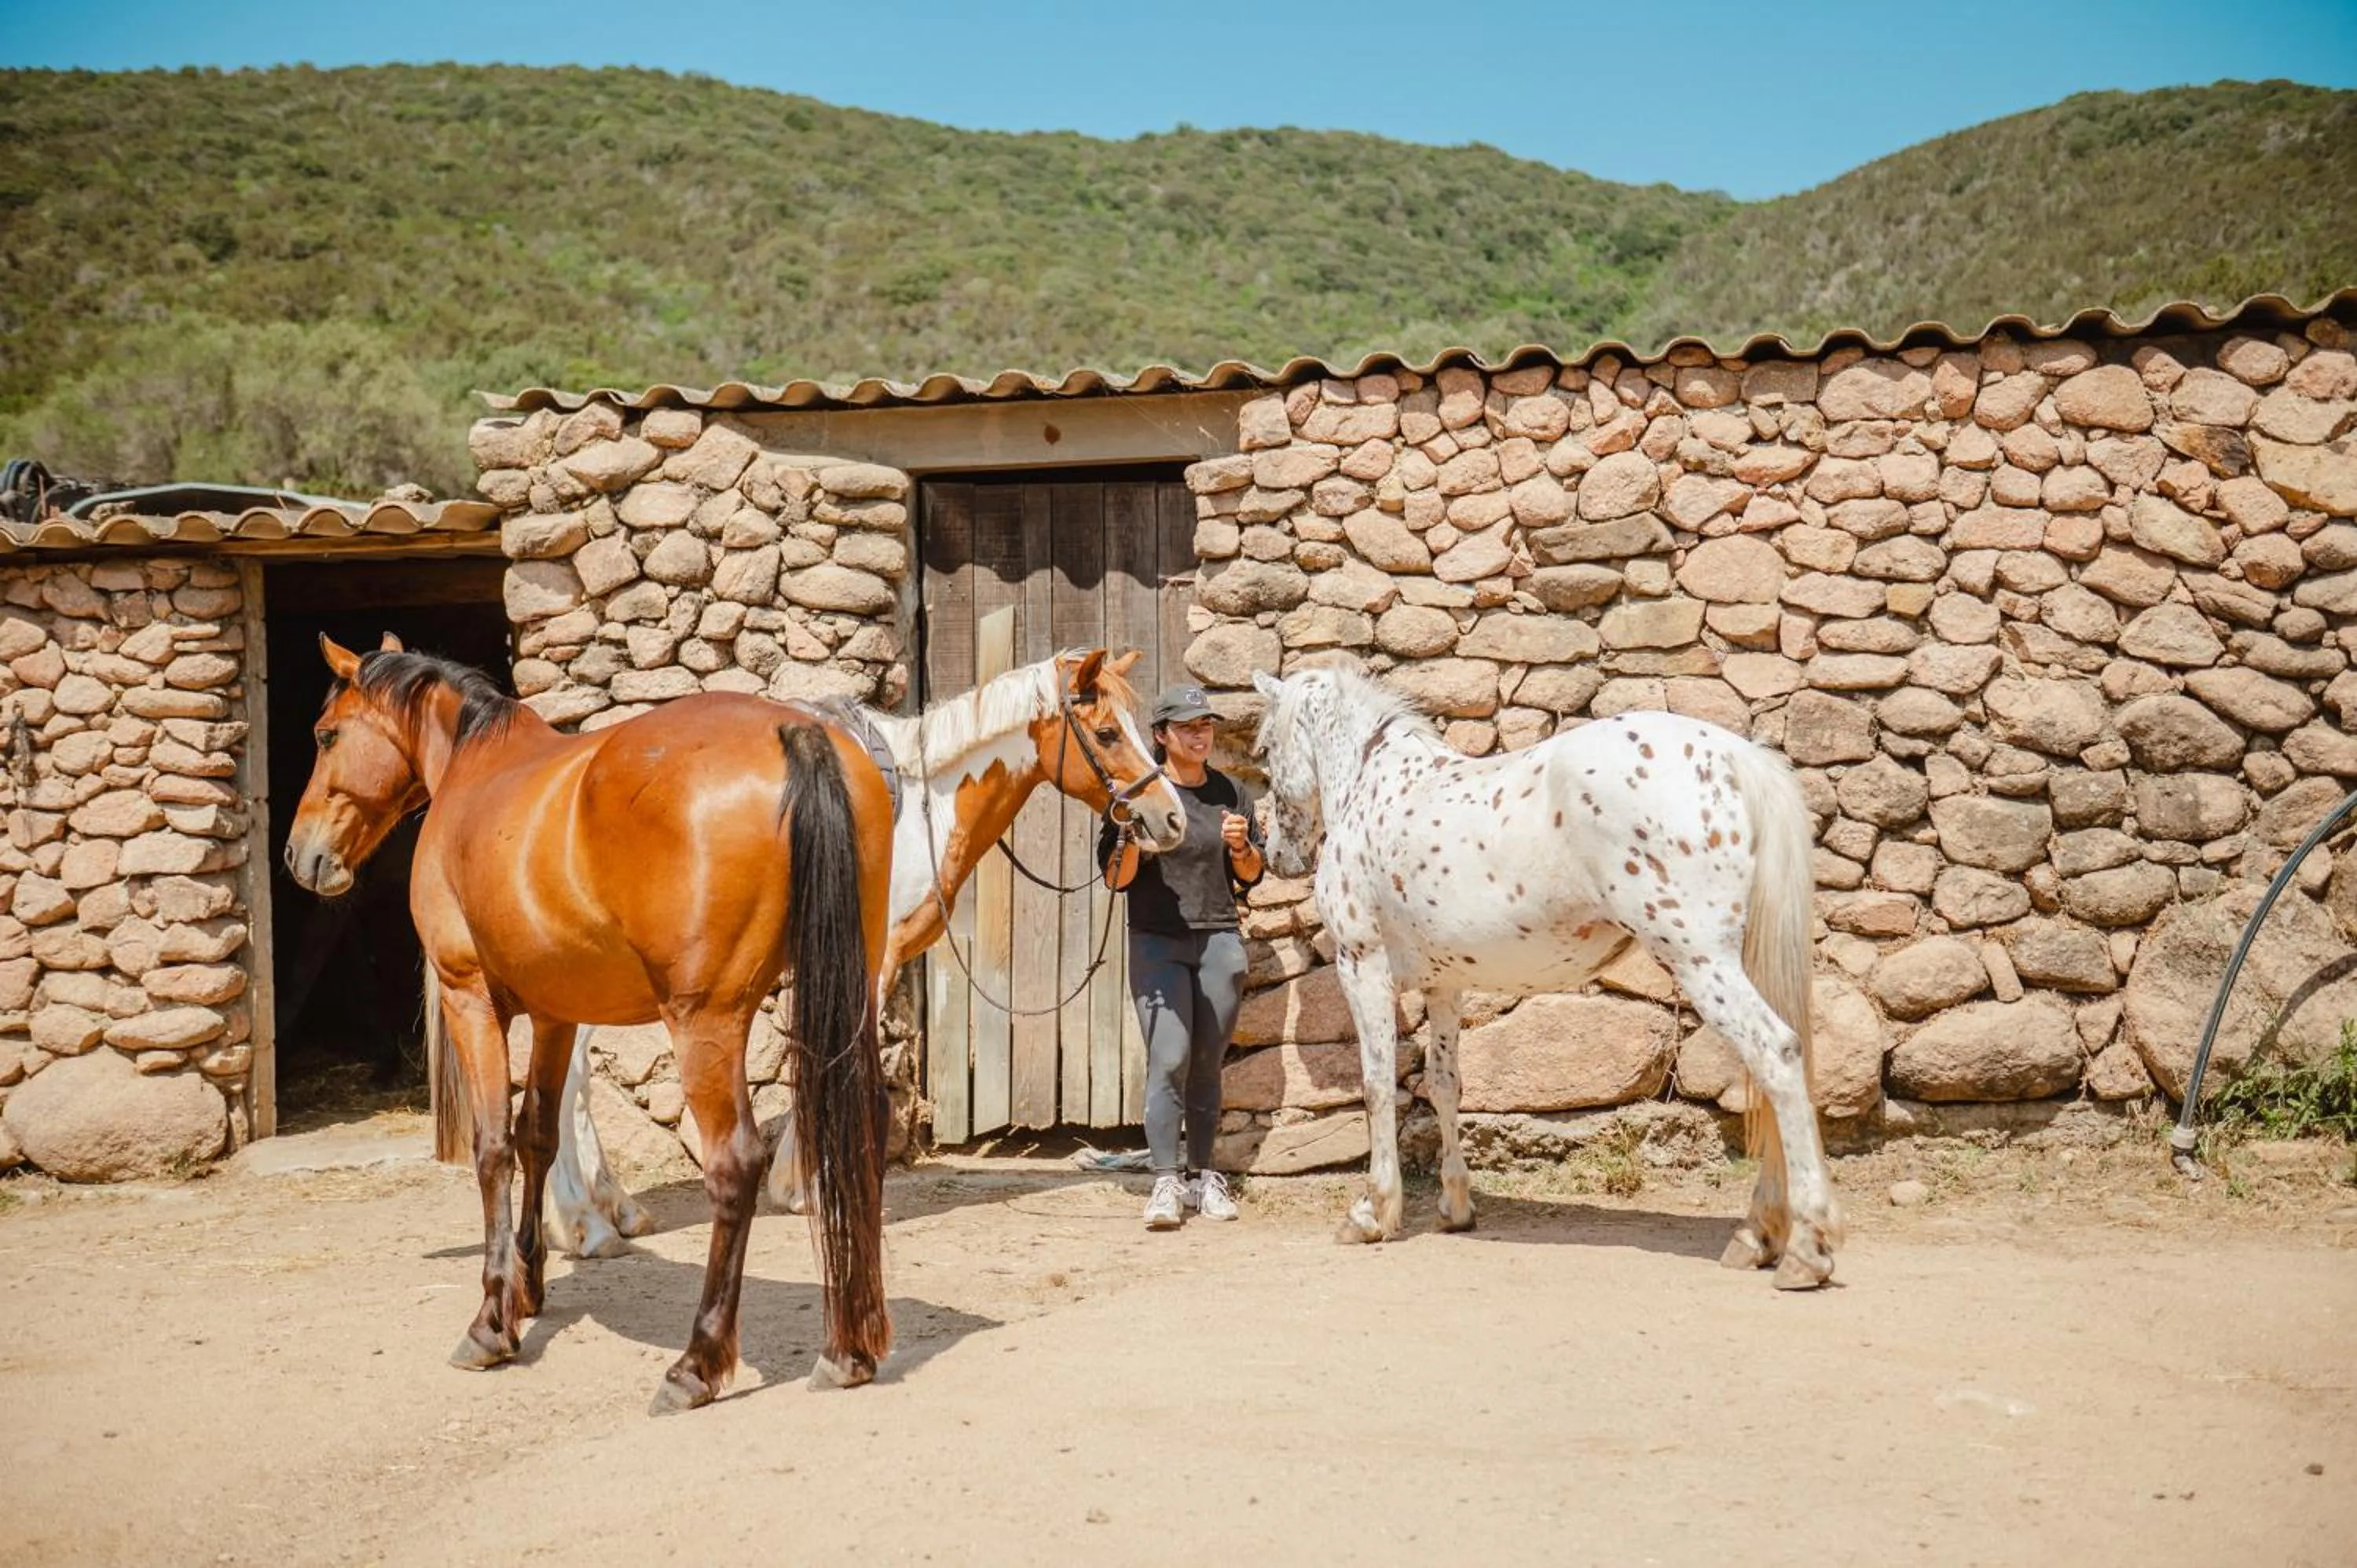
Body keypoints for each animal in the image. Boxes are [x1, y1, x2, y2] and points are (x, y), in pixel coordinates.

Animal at [285, 633, 896, 1410]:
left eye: (325, 735)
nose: (299, 854)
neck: (475, 768)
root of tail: (794, 731)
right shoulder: (555, 1015)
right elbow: (538, 1137)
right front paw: (528, 1288)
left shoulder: (469, 999)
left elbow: (493, 1148)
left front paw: (492, 1321)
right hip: (849, 995)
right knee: (862, 1130)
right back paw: (850, 1349)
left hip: (705, 1024)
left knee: (735, 1164)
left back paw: (696, 1365)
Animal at [542, 648, 1187, 1255]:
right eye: (1107, 733)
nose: (1172, 817)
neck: (924, 806)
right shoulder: (869, 959)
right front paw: (806, 1185)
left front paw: (795, 1183)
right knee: (572, 1075)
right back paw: (582, 1224)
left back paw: (612, 1211)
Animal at [1249, 664, 1842, 1288]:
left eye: (1264, 751)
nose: (1278, 856)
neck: (1377, 786)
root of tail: (1735, 757)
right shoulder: (1445, 986)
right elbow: (1444, 1085)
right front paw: (1455, 1208)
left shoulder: (1361, 965)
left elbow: (1377, 1084)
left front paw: (1371, 1212)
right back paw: (1758, 1237)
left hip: (1701, 960)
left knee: (1776, 1054)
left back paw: (1804, 1249)